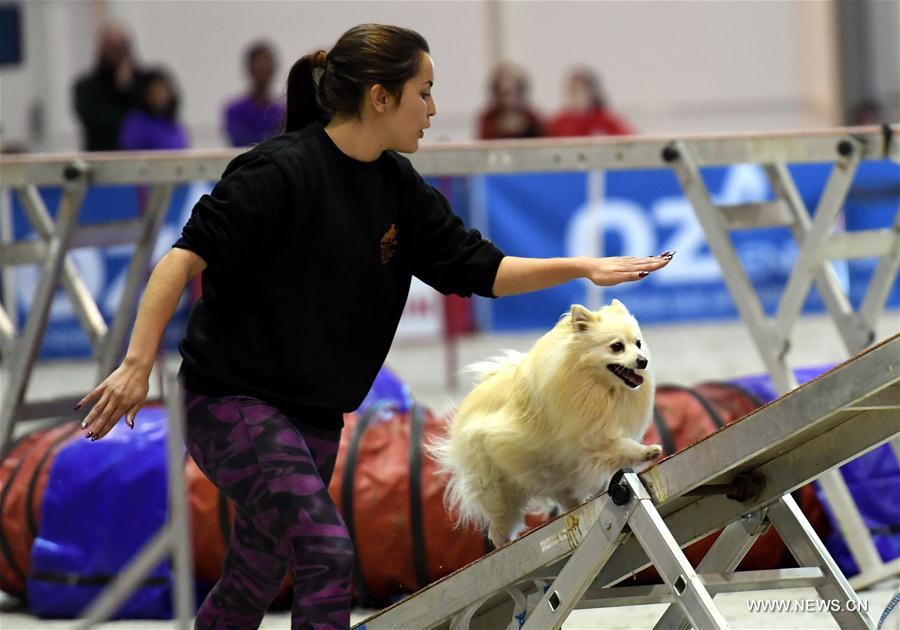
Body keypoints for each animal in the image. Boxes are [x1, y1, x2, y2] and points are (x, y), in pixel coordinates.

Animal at [432, 302, 656, 548]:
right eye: (617, 347)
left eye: (638, 343)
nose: (643, 360)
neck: (595, 384)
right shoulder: (590, 434)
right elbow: (617, 446)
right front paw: (646, 452)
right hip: (500, 490)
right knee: (498, 527)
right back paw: (504, 544)